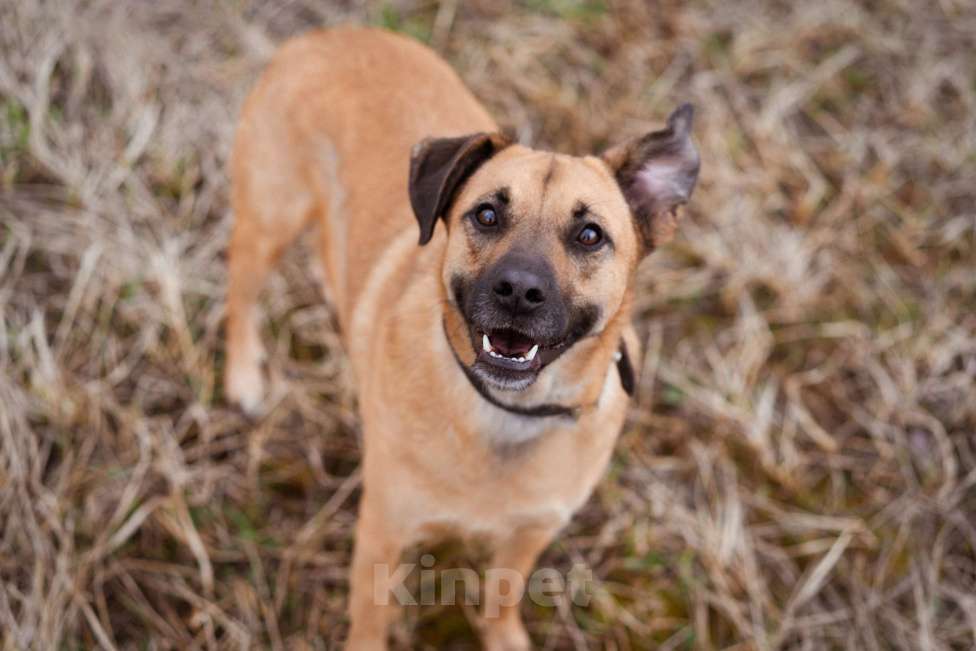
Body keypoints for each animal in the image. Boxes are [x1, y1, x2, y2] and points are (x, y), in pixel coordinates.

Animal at [225, 26, 696, 651]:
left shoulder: (528, 534)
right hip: (270, 218)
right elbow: (370, 619)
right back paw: (243, 377)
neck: (507, 412)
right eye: (488, 215)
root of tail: (329, 33)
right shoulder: (385, 533)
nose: (518, 291)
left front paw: (504, 638)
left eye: (590, 235)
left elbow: (501, 596)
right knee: (240, 295)